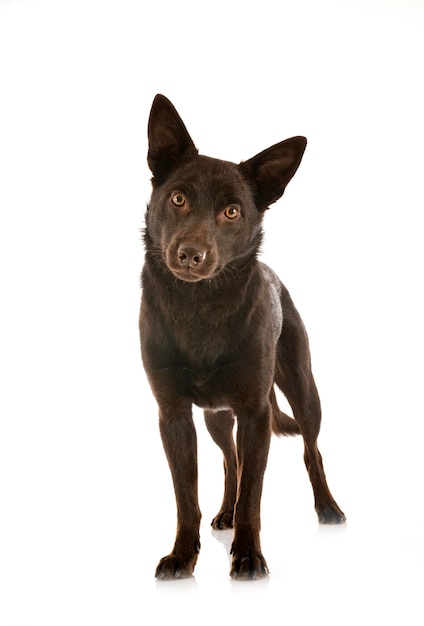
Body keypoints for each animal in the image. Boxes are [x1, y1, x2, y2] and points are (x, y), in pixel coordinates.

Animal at [139, 94, 344, 580]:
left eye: (232, 212)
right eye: (178, 198)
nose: (190, 255)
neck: (199, 306)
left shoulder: (255, 413)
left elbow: (254, 492)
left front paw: (249, 556)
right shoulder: (173, 415)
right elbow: (186, 496)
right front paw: (183, 555)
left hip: (303, 390)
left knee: (311, 450)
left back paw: (328, 508)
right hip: (216, 416)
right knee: (230, 459)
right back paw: (224, 513)